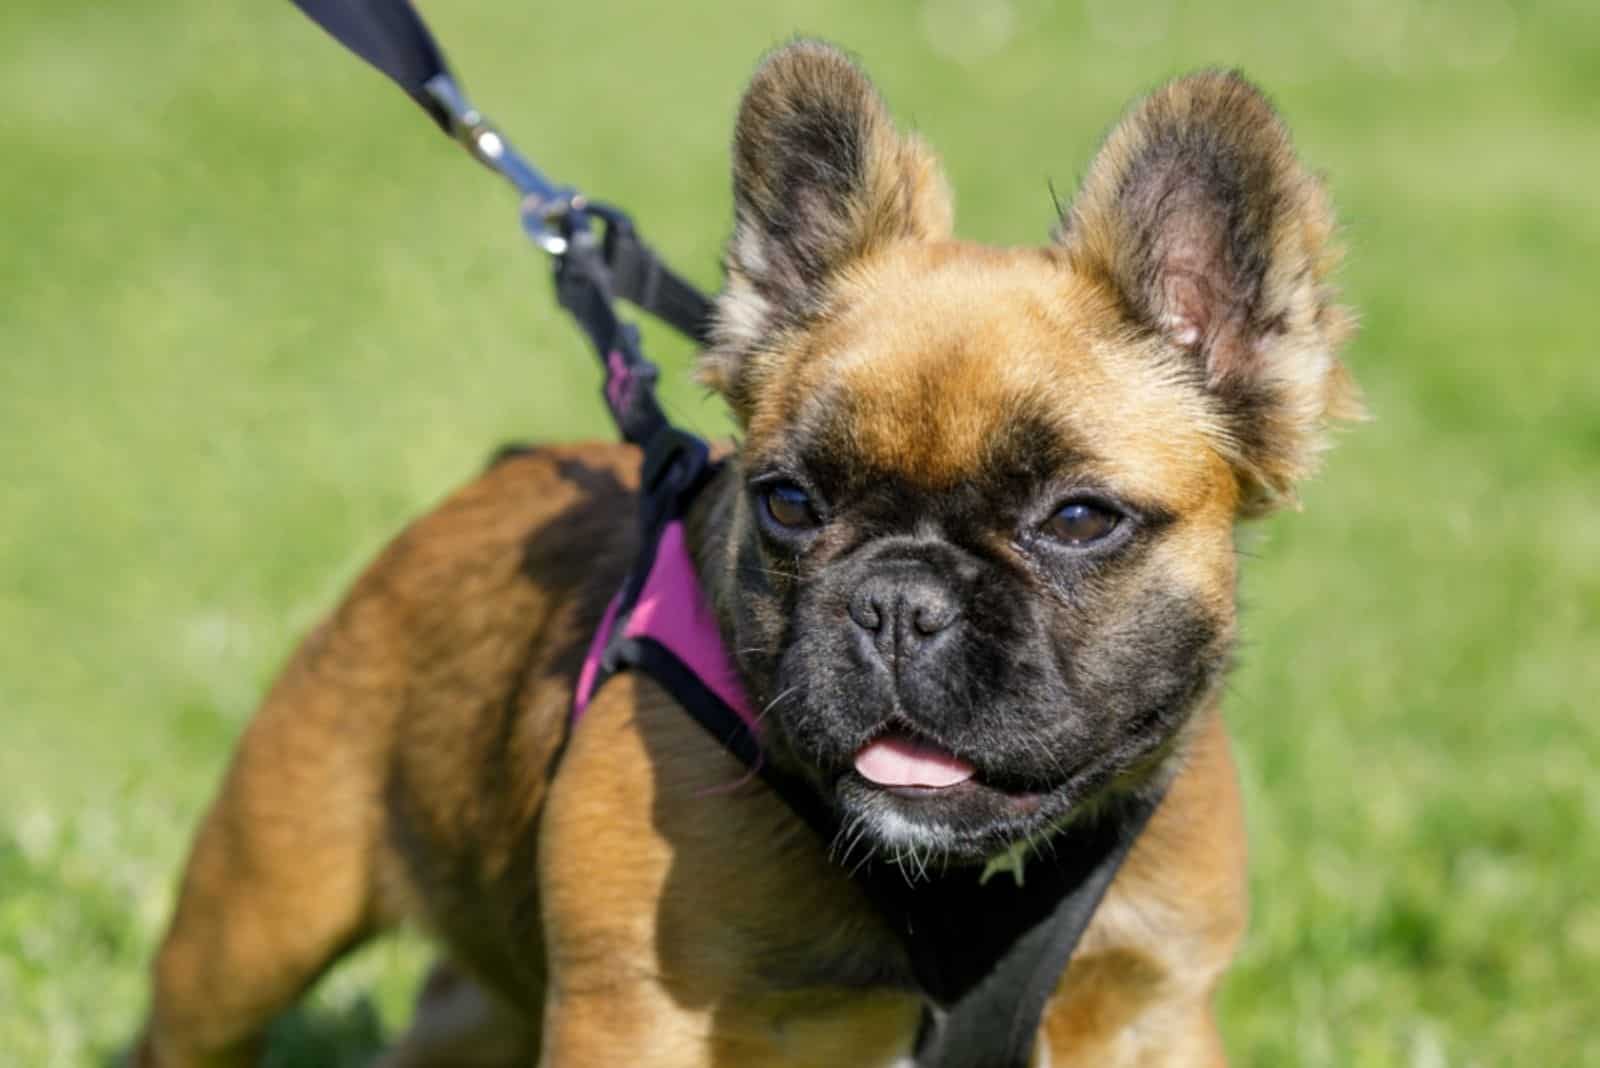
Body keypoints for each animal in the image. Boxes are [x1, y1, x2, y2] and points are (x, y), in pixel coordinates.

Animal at [140, 39, 1363, 1068]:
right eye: (786, 504)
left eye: (1076, 520)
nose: (897, 602)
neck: (952, 878)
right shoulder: (639, 1013)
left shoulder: (1151, 1008)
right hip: (252, 921)